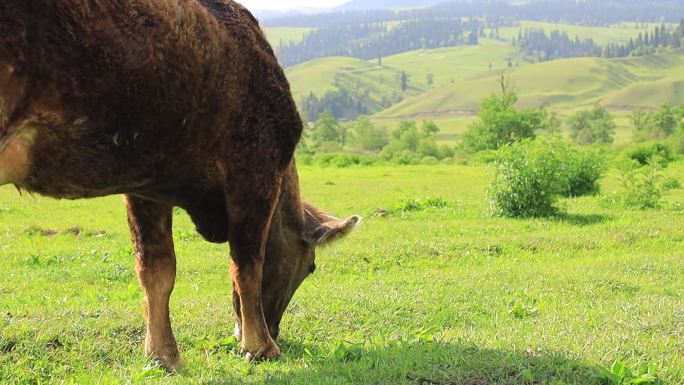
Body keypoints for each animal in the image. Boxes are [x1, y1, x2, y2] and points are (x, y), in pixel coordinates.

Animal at [0, 0, 360, 368]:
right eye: (310, 266)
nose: (275, 330)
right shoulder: (254, 167)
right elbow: (247, 264)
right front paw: (260, 346)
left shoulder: (147, 184)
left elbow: (156, 270)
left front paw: (162, 355)